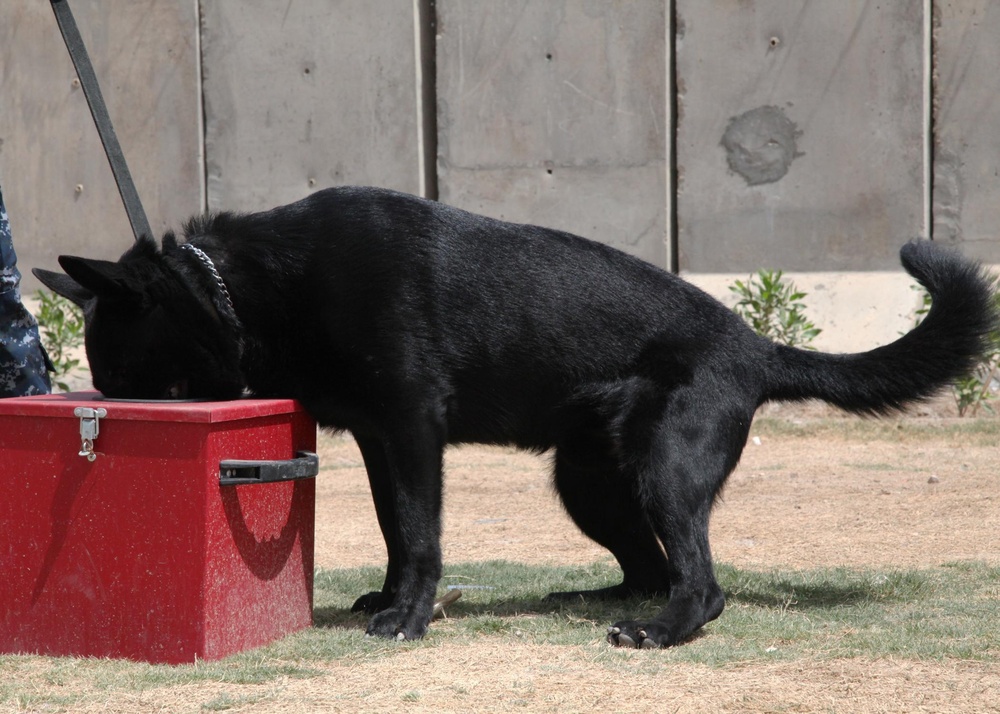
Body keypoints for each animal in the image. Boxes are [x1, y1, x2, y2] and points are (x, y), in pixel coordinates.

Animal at [35, 185, 996, 644]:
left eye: (126, 372)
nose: (106, 419)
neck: (242, 289)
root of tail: (755, 344)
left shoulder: (412, 429)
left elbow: (420, 533)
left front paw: (407, 619)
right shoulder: (381, 442)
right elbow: (394, 530)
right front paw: (390, 597)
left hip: (663, 470)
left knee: (701, 581)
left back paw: (660, 632)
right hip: (590, 484)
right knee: (653, 565)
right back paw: (601, 594)